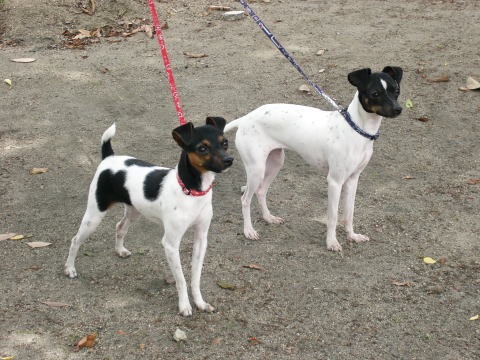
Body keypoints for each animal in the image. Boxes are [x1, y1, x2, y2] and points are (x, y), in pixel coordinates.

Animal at [65, 118, 234, 316]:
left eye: (225, 143)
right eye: (202, 148)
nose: (229, 160)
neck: (191, 192)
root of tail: (109, 158)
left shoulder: (201, 239)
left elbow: (195, 277)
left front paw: (200, 302)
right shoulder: (170, 244)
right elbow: (181, 279)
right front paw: (184, 305)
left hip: (134, 211)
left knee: (120, 226)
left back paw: (120, 250)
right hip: (94, 215)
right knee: (75, 240)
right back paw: (69, 268)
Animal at [224, 66, 402, 250]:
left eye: (396, 90)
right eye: (375, 93)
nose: (398, 109)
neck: (356, 129)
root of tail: (246, 118)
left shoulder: (353, 180)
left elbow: (349, 213)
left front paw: (352, 236)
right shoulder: (335, 181)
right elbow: (333, 216)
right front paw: (331, 242)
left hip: (275, 163)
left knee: (261, 191)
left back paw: (268, 218)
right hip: (256, 170)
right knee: (245, 200)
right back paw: (248, 230)